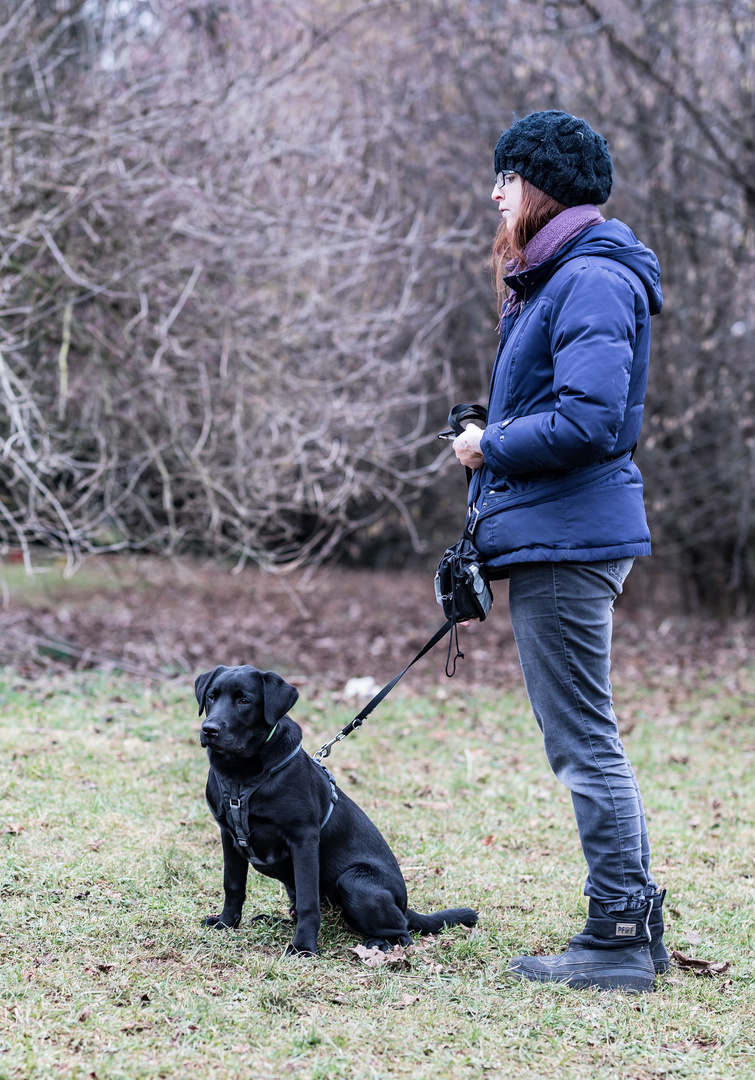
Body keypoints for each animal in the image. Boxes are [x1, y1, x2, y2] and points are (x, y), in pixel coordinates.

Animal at [196, 660, 477, 959]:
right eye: (211, 697)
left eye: (244, 701)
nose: (209, 729)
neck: (241, 774)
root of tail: (403, 904)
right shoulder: (228, 835)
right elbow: (233, 885)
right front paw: (226, 923)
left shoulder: (303, 839)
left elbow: (308, 901)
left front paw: (303, 947)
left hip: (355, 882)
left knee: (403, 933)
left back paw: (378, 943)